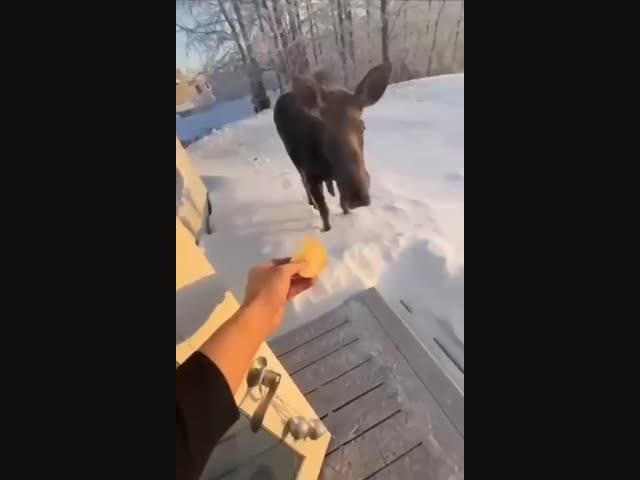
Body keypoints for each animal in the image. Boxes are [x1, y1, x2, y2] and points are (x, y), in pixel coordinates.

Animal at [274, 63, 392, 232]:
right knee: (302, 181)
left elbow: (343, 204)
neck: (329, 166)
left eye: (363, 126)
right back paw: (312, 203)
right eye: (325, 128)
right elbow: (324, 211)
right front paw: (327, 230)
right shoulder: (312, 176)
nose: (357, 194)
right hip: (294, 159)